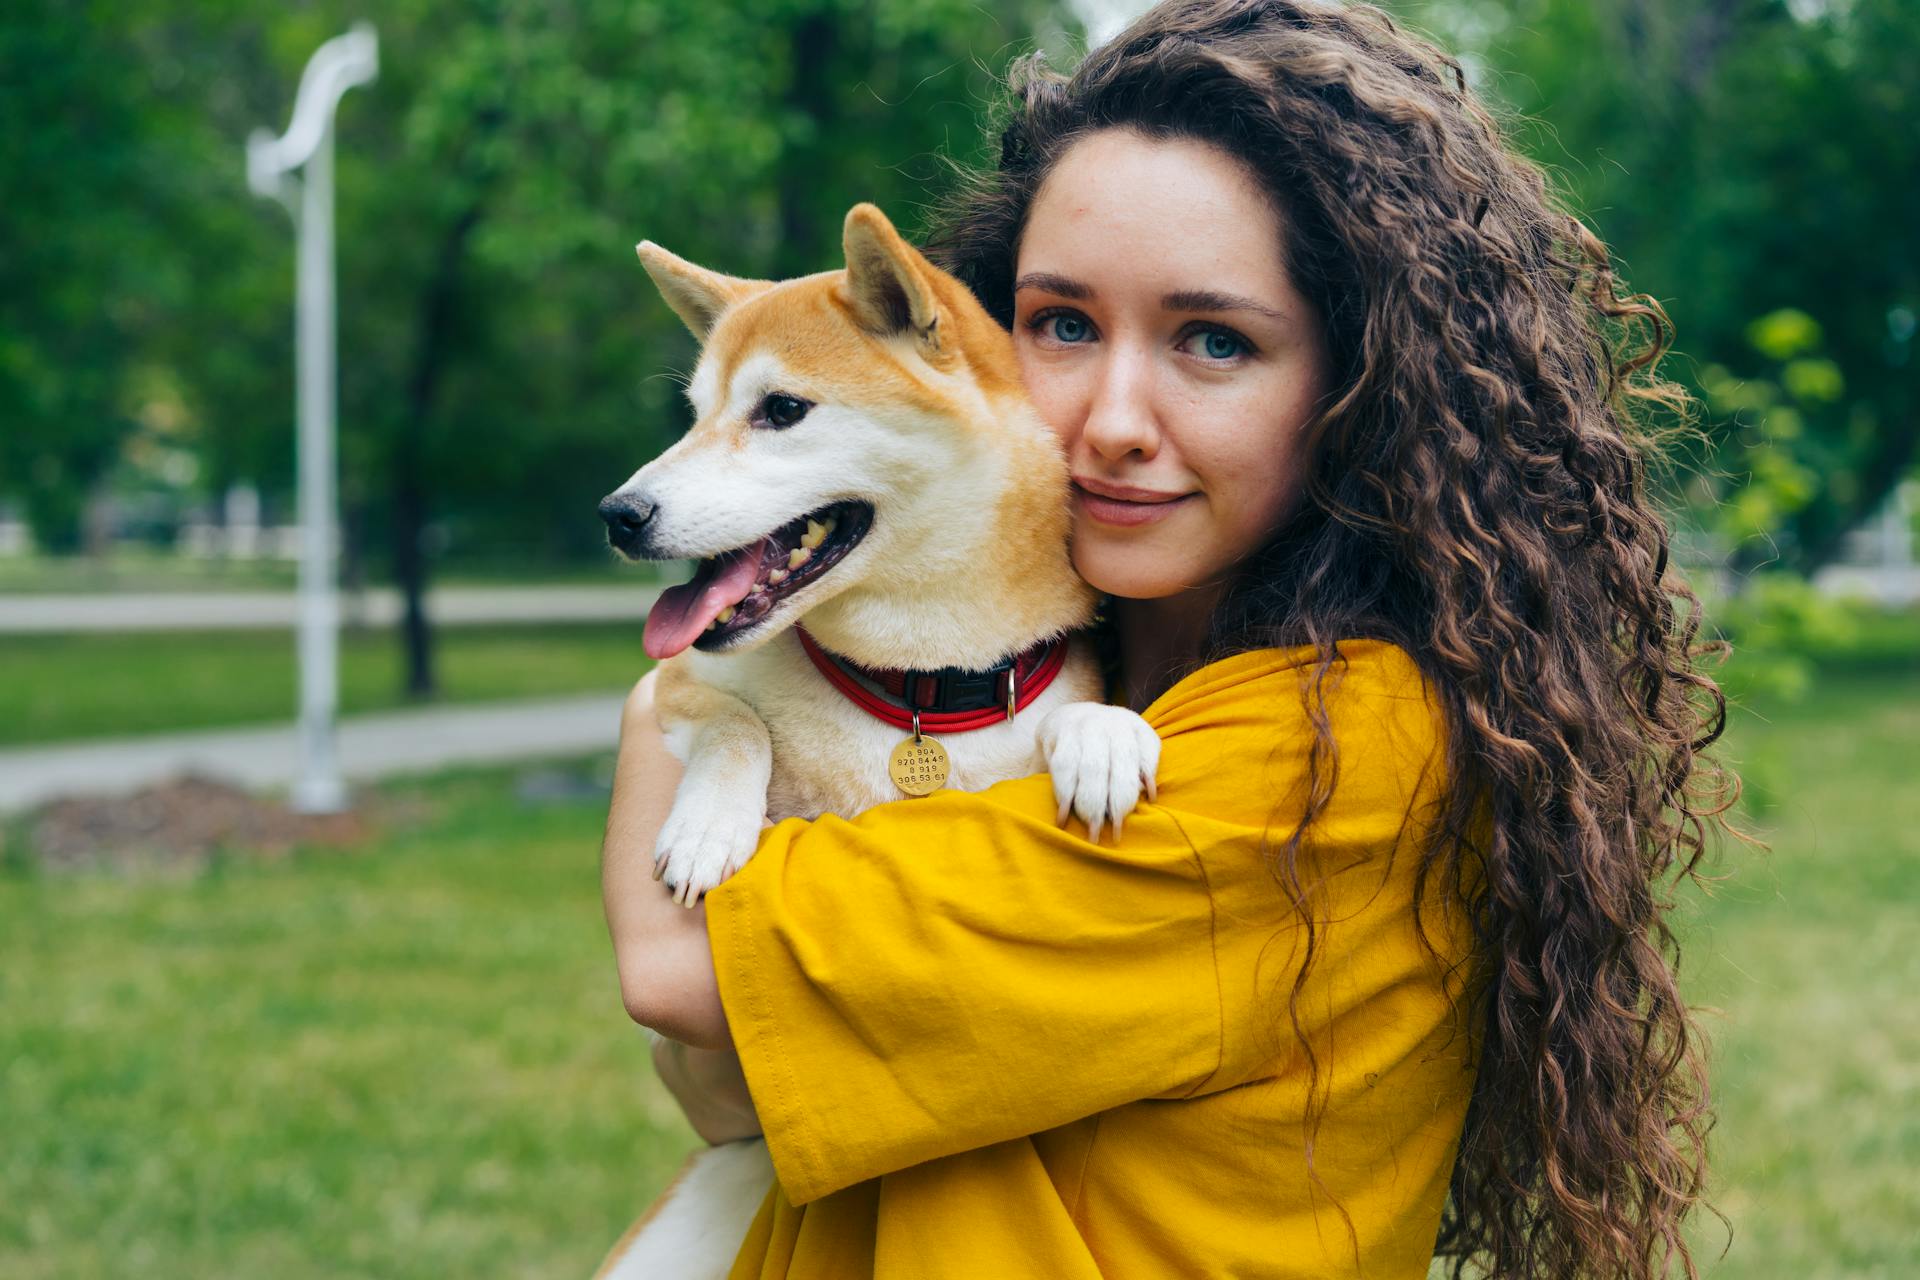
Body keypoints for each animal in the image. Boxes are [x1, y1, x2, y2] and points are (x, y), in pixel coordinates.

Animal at [587, 205, 1152, 1274]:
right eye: (694, 413)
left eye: (781, 410)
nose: (619, 512)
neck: (912, 690)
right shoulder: (673, 687)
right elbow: (734, 724)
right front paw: (709, 828)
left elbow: (1075, 708)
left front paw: (1103, 738)